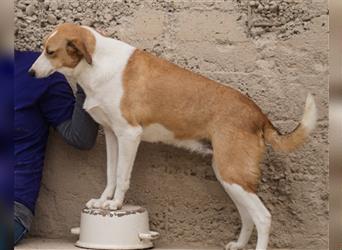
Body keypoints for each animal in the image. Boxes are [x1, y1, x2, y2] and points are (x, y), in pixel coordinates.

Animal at [30, 23, 318, 250]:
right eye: (43, 49)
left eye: (50, 52)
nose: (31, 73)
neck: (97, 64)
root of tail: (258, 114)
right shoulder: (112, 135)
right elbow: (110, 175)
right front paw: (103, 201)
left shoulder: (129, 135)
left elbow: (122, 176)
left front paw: (116, 205)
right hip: (228, 175)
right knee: (248, 216)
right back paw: (237, 245)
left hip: (232, 173)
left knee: (263, 217)